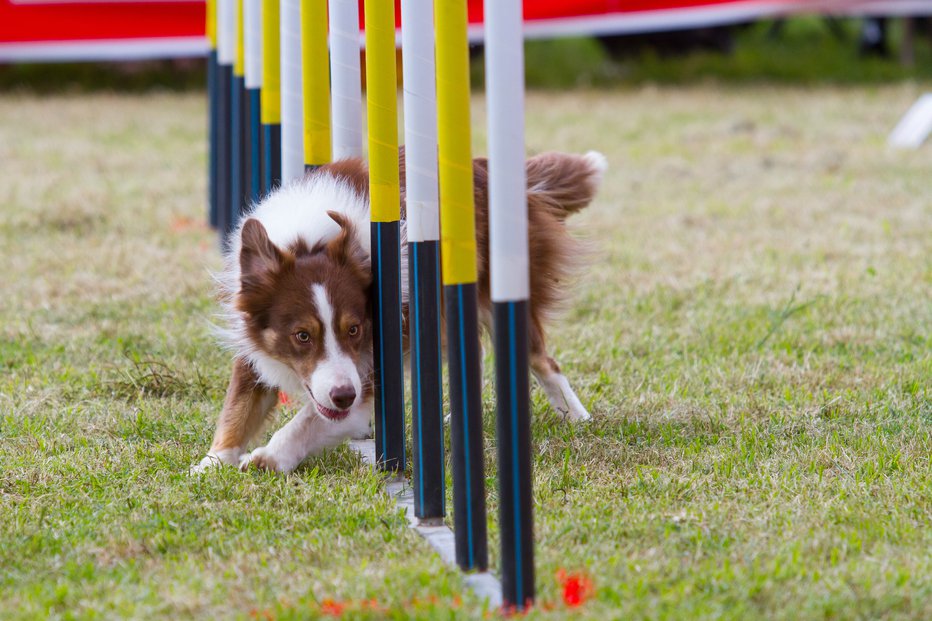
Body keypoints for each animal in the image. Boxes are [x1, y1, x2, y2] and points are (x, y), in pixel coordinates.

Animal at [193, 150, 608, 474]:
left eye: (354, 329)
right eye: (302, 335)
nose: (342, 396)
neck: (310, 241)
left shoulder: (372, 365)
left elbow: (308, 422)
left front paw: (268, 457)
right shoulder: (256, 347)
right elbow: (237, 408)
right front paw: (212, 463)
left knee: (543, 361)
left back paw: (576, 417)